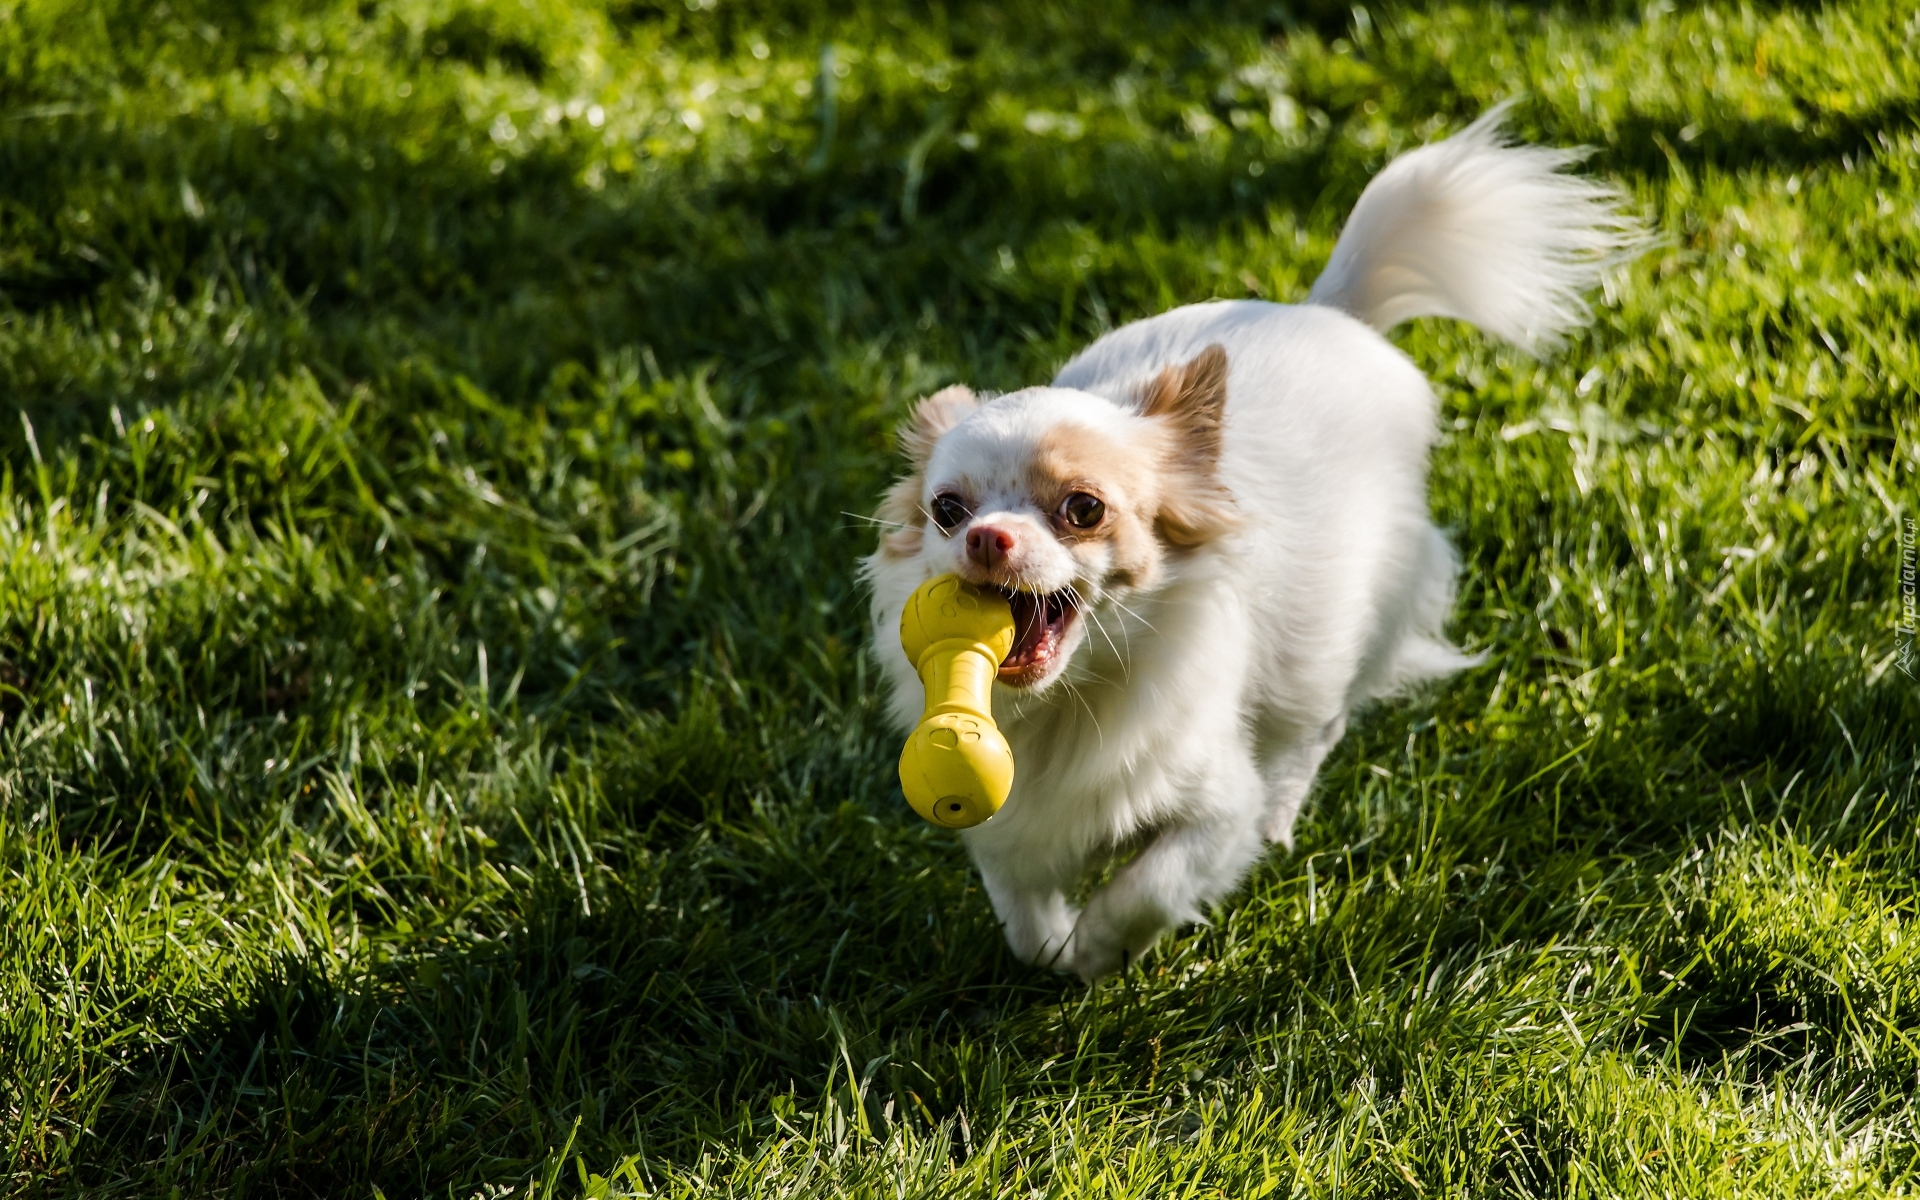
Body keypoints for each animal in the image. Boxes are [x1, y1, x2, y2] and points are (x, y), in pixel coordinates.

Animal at [864, 107, 1643, 979]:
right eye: (947, 510)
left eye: (1083, 508)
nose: (988, 538)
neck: (1070, 702)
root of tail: (1329, 310)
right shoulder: (1008, 823)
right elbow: (1025, 920)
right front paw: (1061, 948)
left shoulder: (1212, 808)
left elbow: (1152, 885)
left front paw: (1101, 950)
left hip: (1340, 639)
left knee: (1314, 731)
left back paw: (1280, 815)